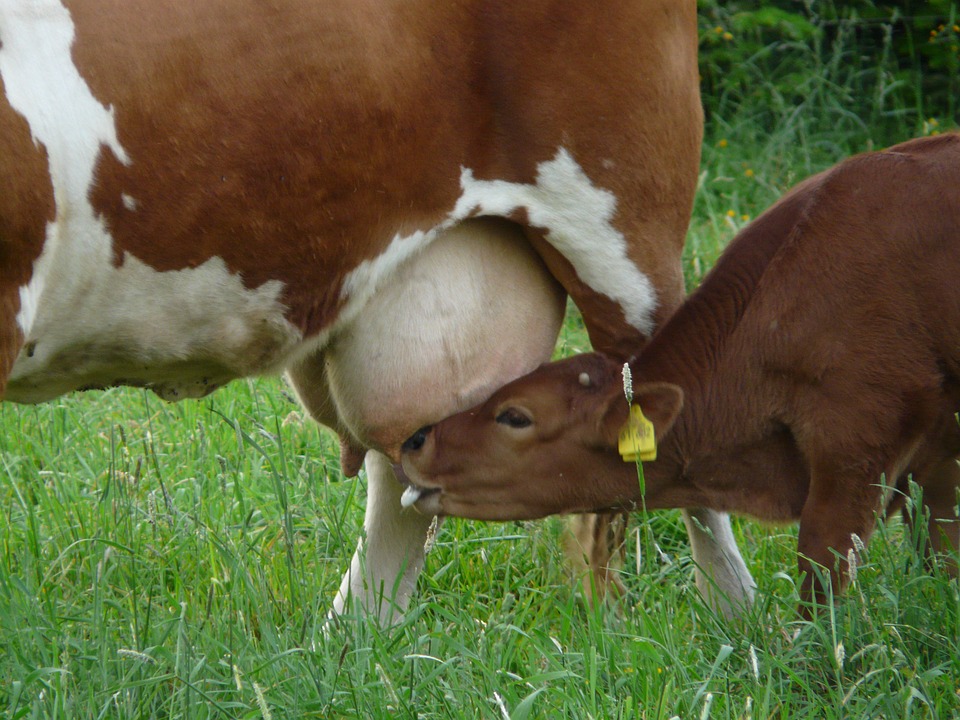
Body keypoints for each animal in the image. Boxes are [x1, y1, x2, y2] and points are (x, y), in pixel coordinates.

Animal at [398, 135, 960, 612]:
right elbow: (942, 557)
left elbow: (820, 580)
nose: (416, 439)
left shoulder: (858, 446)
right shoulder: (938, 460)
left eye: (515, 416)